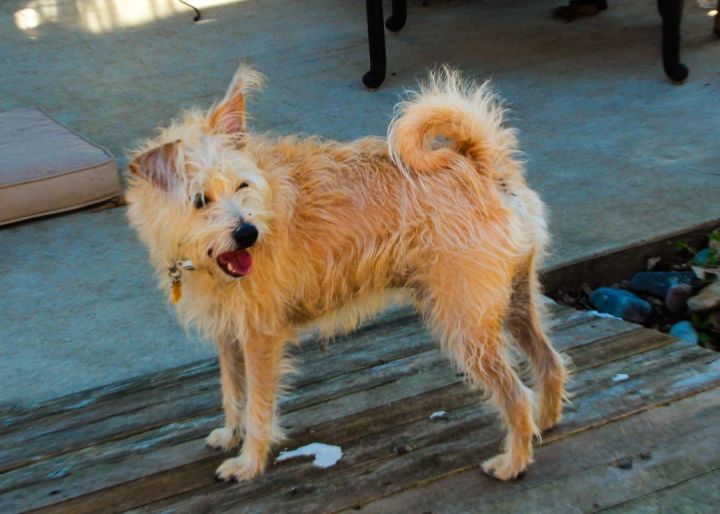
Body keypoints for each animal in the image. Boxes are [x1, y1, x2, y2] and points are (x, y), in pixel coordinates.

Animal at [128, 64, 568, 480]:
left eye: (241, 186)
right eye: (200, 200)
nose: (248, 233)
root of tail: (479, 162)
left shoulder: (259, 339)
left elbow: (257, 406)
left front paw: (249, 462)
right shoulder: (230, 334)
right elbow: (232, 390)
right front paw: (230, 434)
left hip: (466, 323)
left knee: (516, 395)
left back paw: (513, 463)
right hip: (514, 300)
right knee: (548, 361)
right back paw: (545, 423)